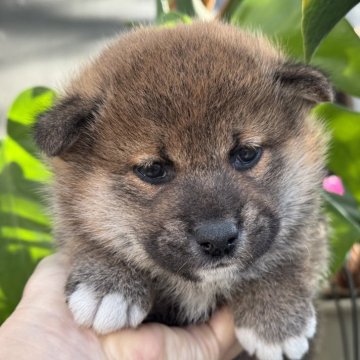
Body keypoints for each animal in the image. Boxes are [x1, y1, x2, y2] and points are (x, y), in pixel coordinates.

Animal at [33, 21, 332, 360]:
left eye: (246, 154)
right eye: (153, 169)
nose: (218, 239)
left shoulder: (310, 223)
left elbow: (291, 252)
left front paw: (275, 318)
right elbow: (86, 235)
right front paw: (109, 283)